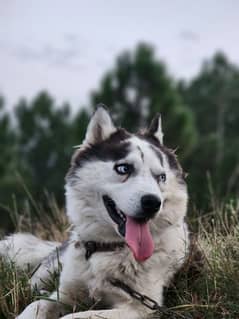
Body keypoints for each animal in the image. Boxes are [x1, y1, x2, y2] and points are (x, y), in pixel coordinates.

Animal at [0, 107, 190, 319]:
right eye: (123, 168)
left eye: (161, 177)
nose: (152, 203)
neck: (109, 249)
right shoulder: (64, 294)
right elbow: (36, 305)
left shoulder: (140, 308)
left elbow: (74, 316)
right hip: (49, 269)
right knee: (31, 287)